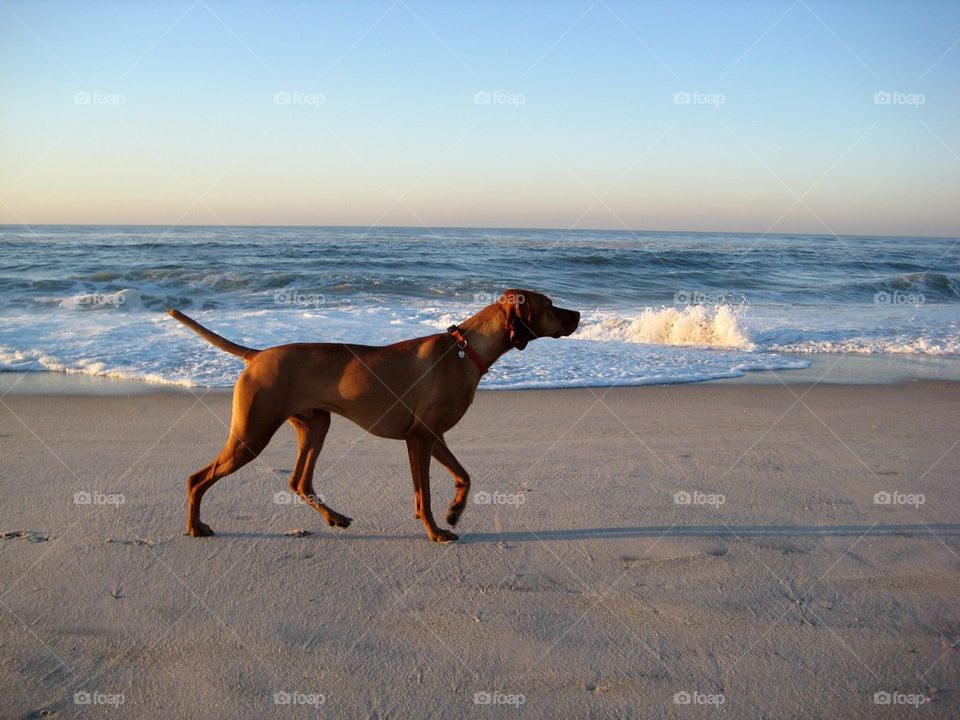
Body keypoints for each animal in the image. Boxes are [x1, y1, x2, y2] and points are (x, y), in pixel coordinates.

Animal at [167, 290, 576, 544]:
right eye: (550, 304)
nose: (578, 315)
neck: (465, 349)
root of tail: (258, 355)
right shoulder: (420, 439)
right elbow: (424, 495)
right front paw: (435, 531)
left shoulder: (433, 437)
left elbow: (464, 476)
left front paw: (454, 512)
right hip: (252, 434)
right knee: (196, 479)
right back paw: (195, 526)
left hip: (315, 425)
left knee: (299, 481)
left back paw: (334, 517)